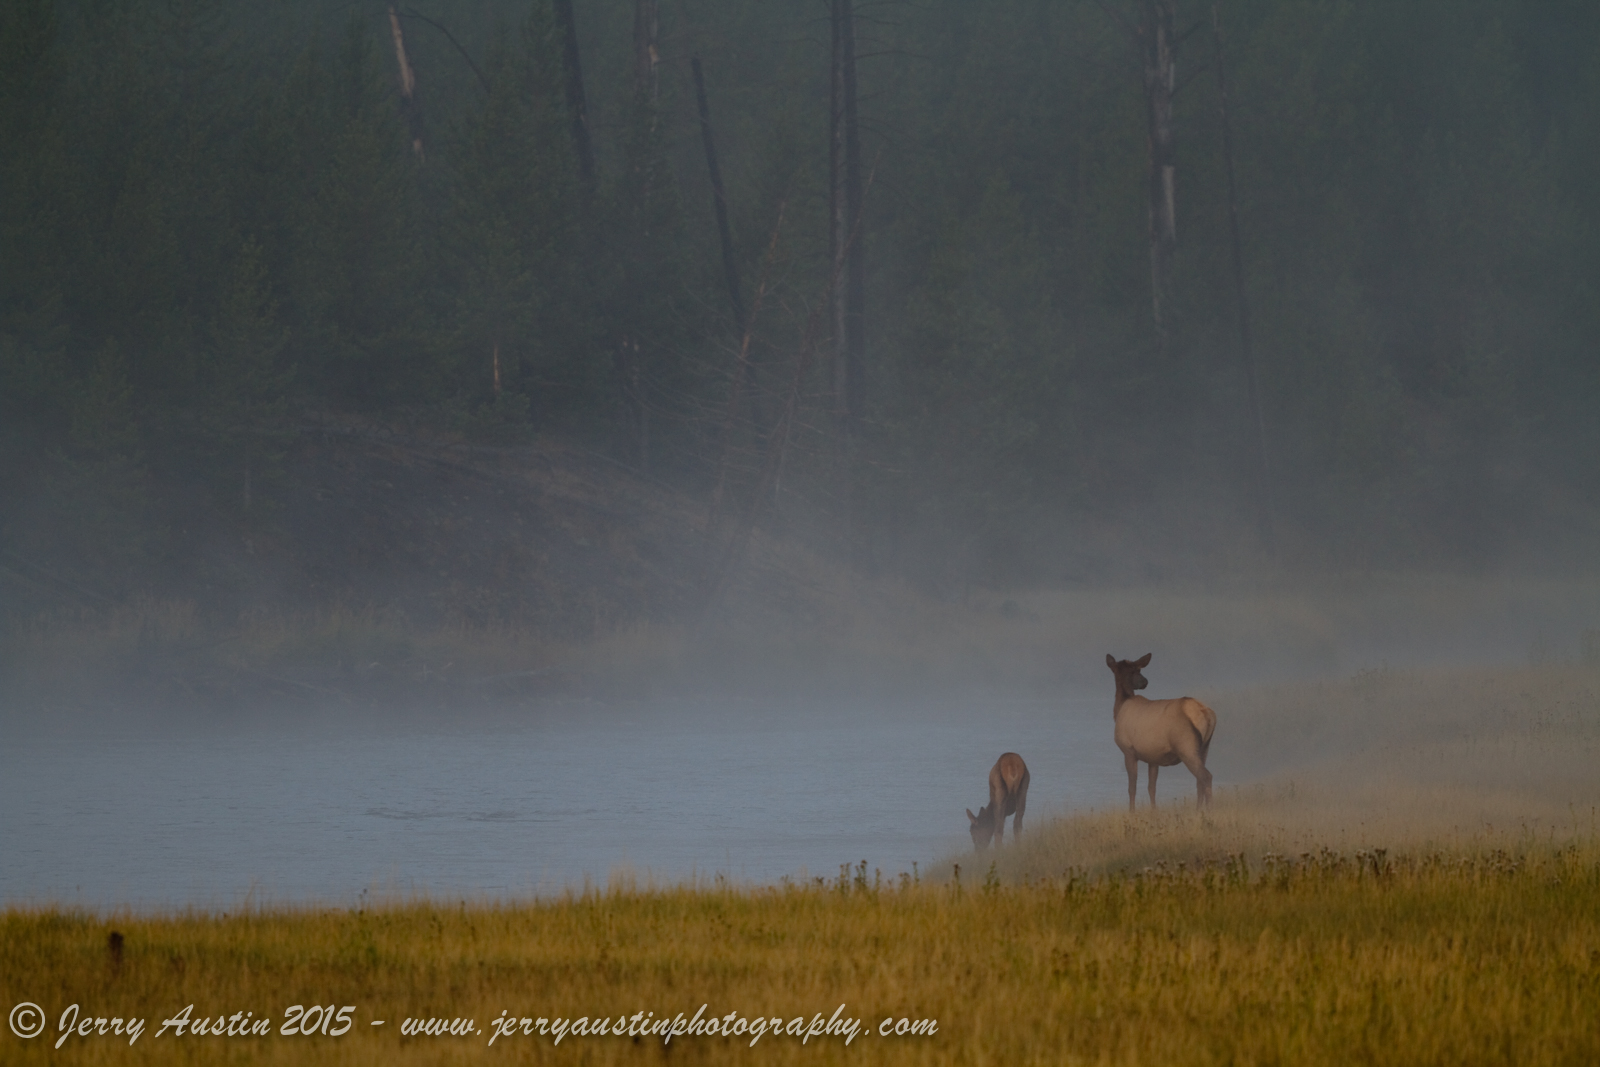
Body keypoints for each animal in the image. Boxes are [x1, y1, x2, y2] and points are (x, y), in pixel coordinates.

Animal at [1107, 653, 1216, 810]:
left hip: (1186, 747)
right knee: (1199, 780)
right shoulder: (1153, 758)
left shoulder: (1128, 750)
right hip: (1205, 748)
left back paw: (1208, 809)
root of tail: (1207, 714)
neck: (1119, 708)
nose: (1144, 682)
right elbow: (1151, 787)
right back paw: (1198, 809)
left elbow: (1132, 788)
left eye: (1138, 670)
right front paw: (1153, 810)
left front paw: (1132, 811)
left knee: (1206, 776)